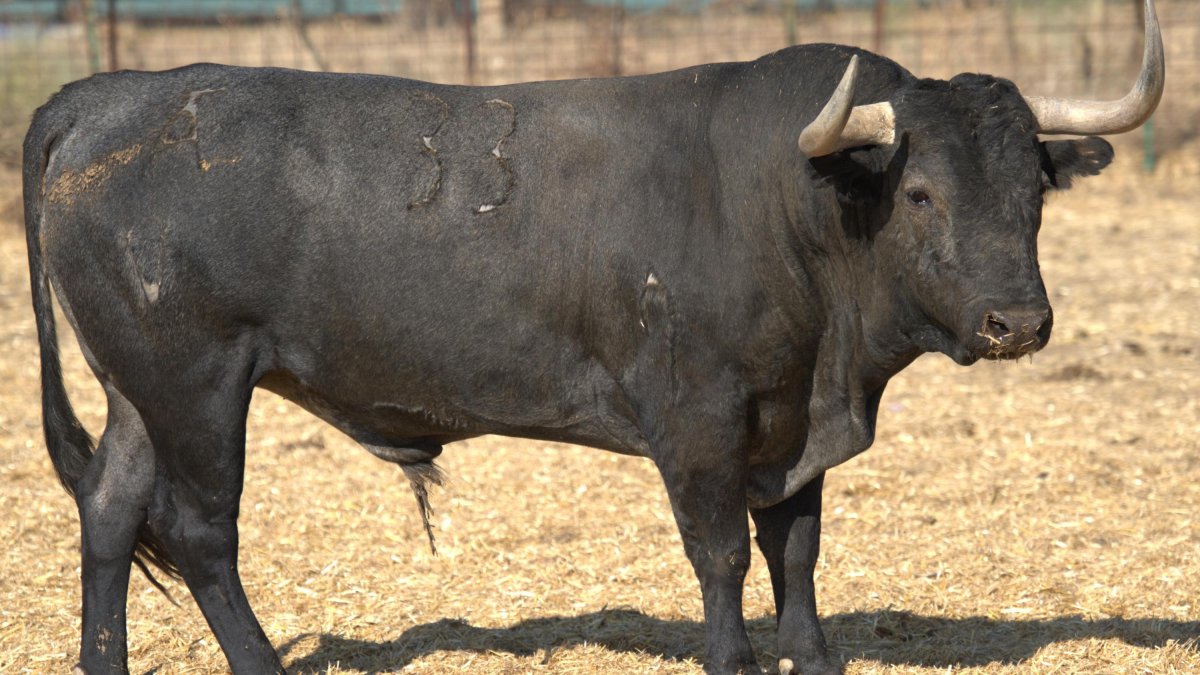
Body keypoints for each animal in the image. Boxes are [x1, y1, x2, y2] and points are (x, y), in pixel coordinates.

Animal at [21, 6, 1161, 672]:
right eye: (921, 193)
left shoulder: (791, 419)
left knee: (111, 511)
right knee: (201, 531)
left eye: (1034, 193)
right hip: (195, 381)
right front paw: (734, 656)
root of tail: (114, 93)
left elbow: (795, 547)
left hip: (136, 389)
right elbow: (721, 554)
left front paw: (810, 653)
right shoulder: (699, 417)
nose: (1019, 323)